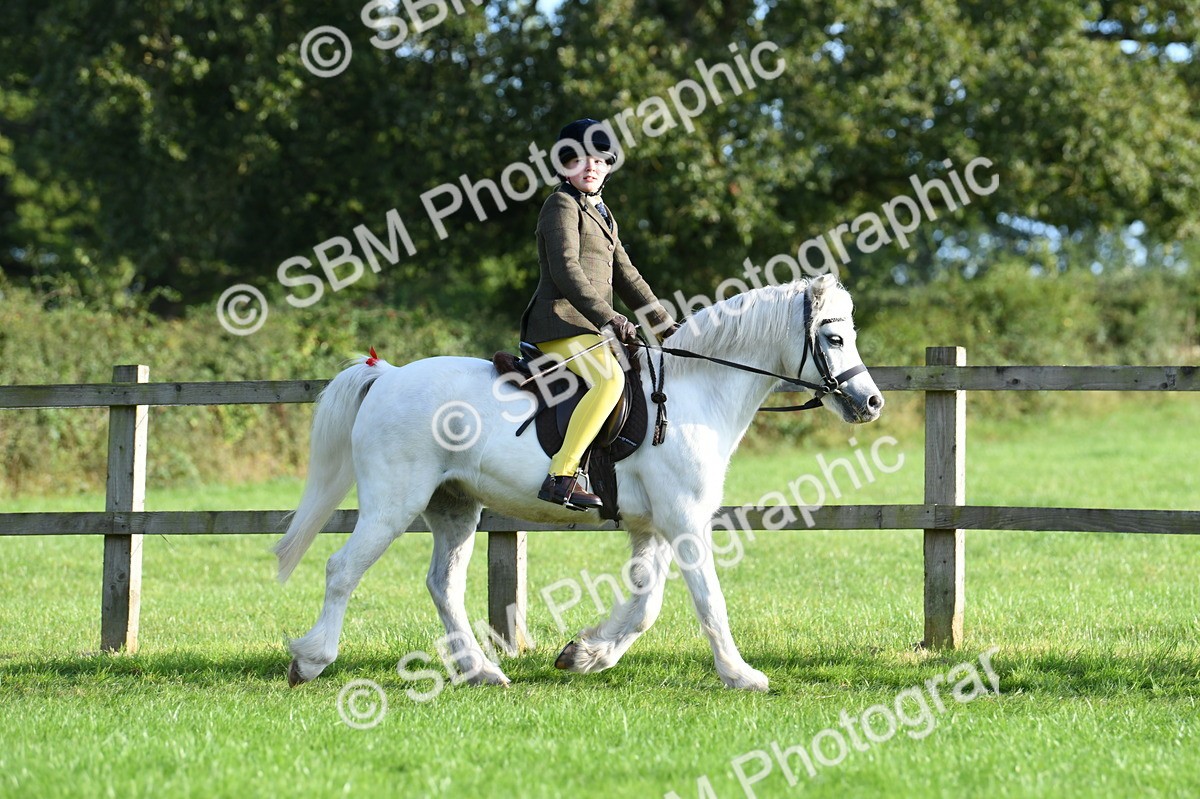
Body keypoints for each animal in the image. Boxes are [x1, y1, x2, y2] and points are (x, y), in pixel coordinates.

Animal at [273, 274, 883, 691]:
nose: (871, 402)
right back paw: (311, 660)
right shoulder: (685, 520)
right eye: (833, 339)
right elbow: (708, 599)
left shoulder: (655, 526)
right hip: (393, 503)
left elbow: (645, 605)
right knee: (342, 569)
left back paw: (481, 671)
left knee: (443, 584)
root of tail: (389, 376)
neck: (695, 392)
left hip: (454, 507)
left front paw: (585, 654)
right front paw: (741, 675)